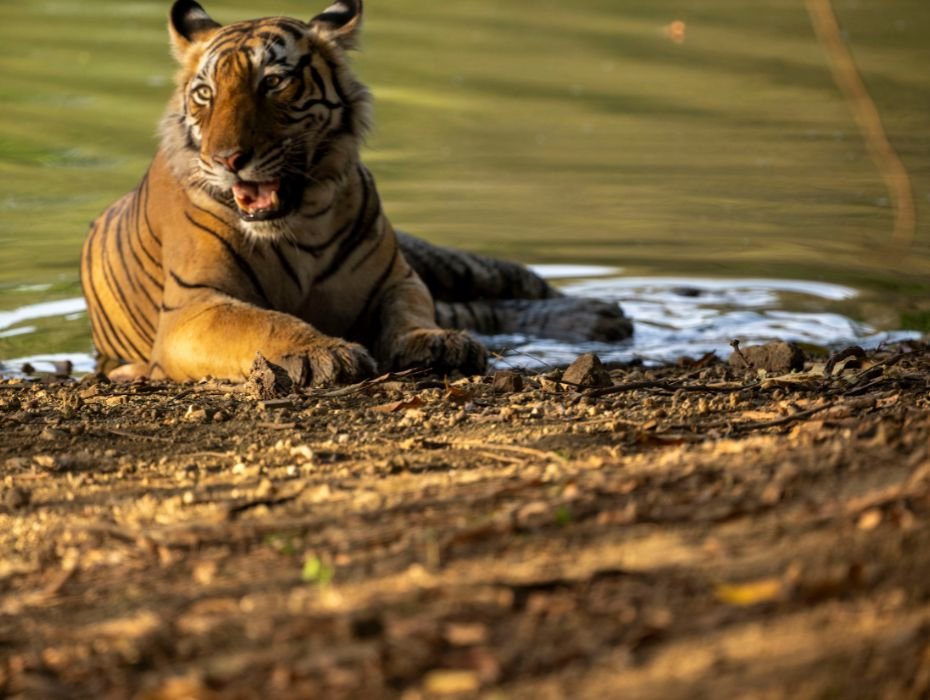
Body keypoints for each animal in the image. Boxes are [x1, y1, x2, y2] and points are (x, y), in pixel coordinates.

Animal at [80, 0, 632, 386]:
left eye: (273, 82)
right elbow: (266, 322)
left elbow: (412, 312)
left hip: (443, 260)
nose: (227, 159)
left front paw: (437, 342)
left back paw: (603, 315)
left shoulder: (398, 278)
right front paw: (323, 352)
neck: (297, 224)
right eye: (204, 94)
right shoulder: (194, 308)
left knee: (513, 286)